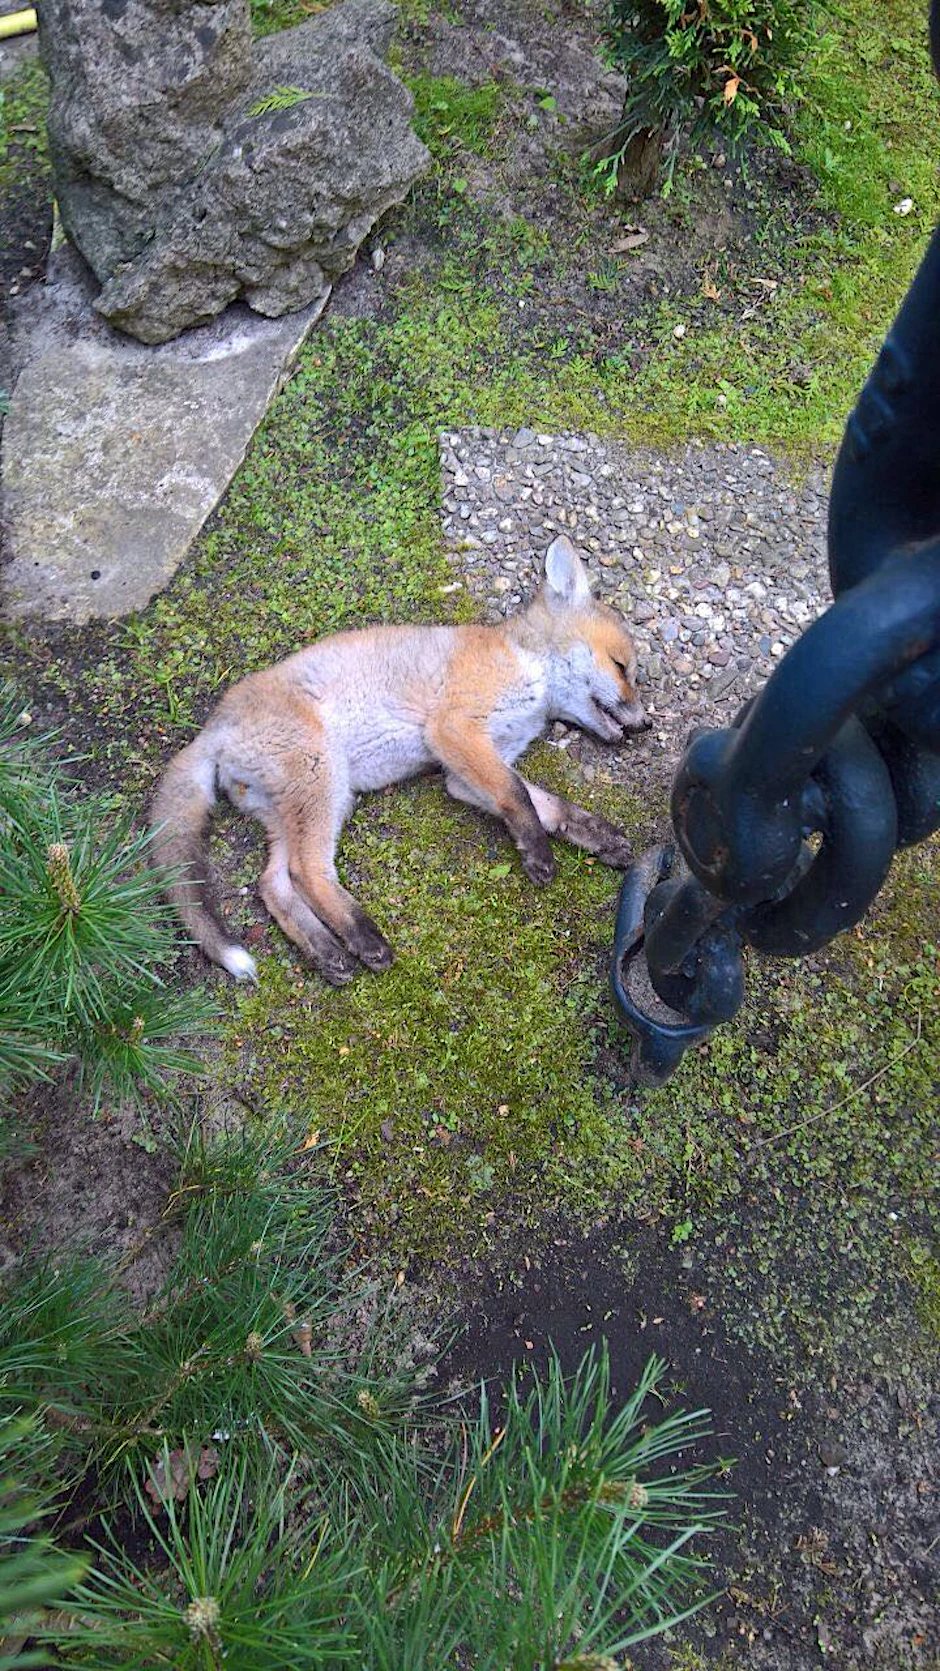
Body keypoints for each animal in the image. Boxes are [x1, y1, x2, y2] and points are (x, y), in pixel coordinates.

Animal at [150, 534, 651, 986]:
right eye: (621, 667)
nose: (645, 723)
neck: (528, 666)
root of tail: (215, 726)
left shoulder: (468, 770)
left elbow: (545, 804)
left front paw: (596, 836)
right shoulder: (454, 729)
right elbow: (518, 798)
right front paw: (539, 856)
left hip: (308, 805)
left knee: (273, 883)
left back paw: (328, 953)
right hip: (322, 783)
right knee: (306, 872)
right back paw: (364, 938)